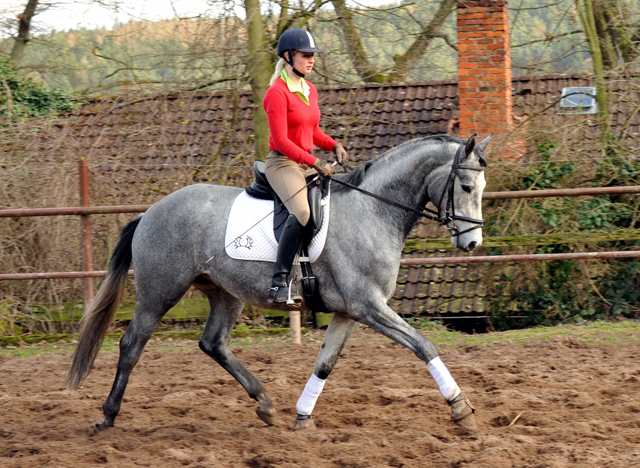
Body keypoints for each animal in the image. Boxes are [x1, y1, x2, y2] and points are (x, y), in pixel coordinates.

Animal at [67, 132, 490, 432]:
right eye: (467, 187)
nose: (472, 243)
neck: (374, 209)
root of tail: (151, 211)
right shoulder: (369, 306)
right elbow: (423, 344)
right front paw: (462, 410)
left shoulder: (349, 313)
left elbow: (325, 365)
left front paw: (303, 417)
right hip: (160, 292)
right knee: (131, 344)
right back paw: (108, 416)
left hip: (225, 292)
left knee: (213, 343)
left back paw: (265, 404)